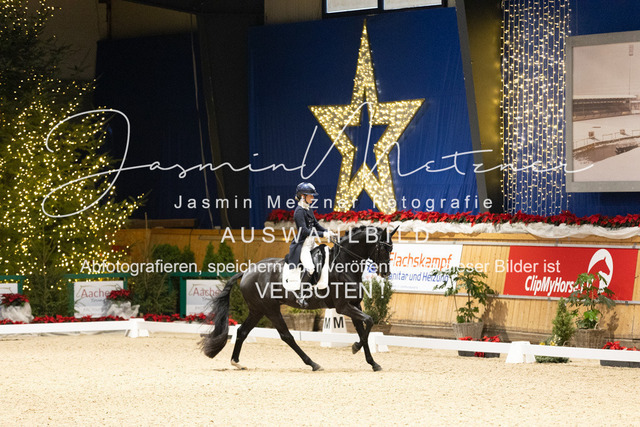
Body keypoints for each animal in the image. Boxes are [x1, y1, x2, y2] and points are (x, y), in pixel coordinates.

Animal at [201, 225, 397, 371]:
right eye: (383, 248)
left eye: (391, 248)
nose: (385, 273)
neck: (344, 265)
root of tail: (247, 271)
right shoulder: (343, 307)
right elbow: (369, 321)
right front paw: (355, 348)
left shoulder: (355, 305)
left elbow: (364, 331)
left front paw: (373, 363)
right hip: (270, 309)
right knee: (286, 336)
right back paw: (313, 364)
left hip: (257, 310)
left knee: (242, 331)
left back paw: (237, 362)